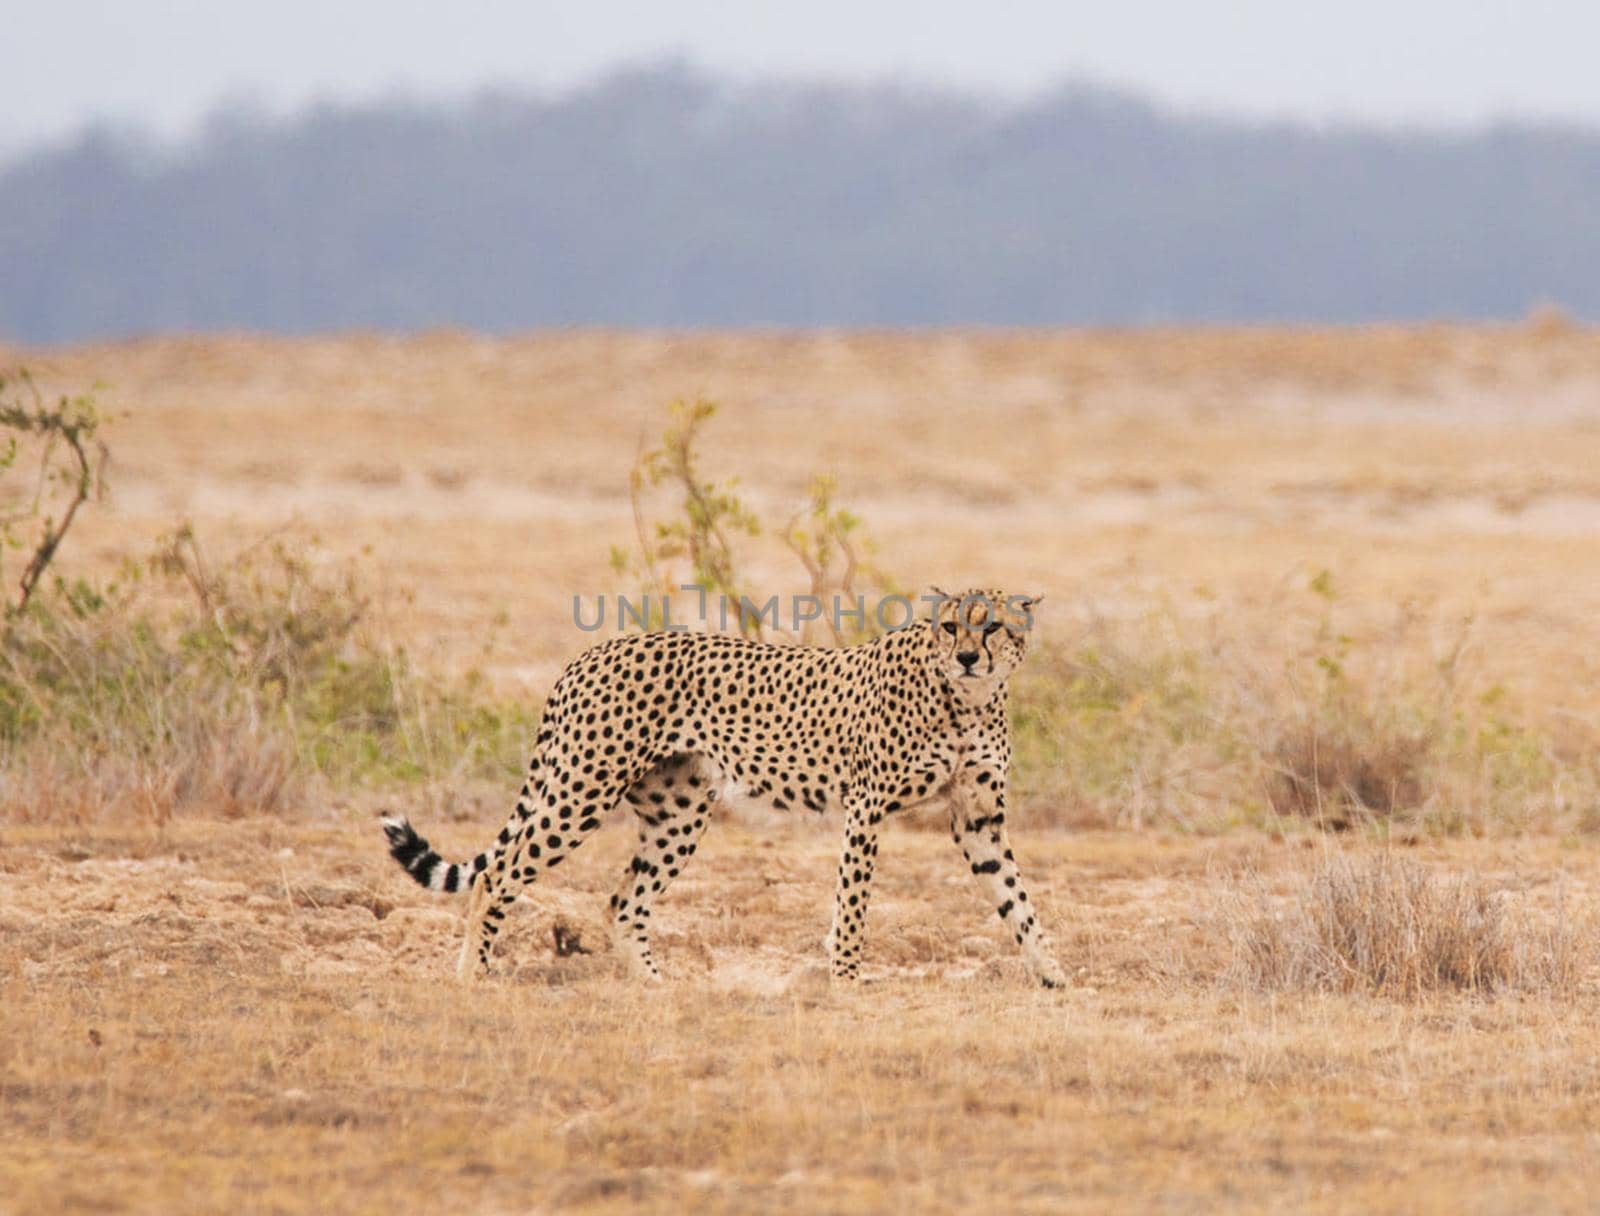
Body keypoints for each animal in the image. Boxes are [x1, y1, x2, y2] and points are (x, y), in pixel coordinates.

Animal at [380, 588, 1068, 985]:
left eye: (993, 627)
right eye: (951, 627)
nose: (969, 657)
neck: (968, 700)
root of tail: (592, 651)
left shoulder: (978, 820)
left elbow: (1018, 900)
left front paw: (1053, 974)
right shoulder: (866, 809)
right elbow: (853, 903)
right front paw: (846, 978)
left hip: (678, 813)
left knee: (623, 900)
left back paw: (657, 987)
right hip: (583, 788)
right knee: (498, 875)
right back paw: (473, 974)